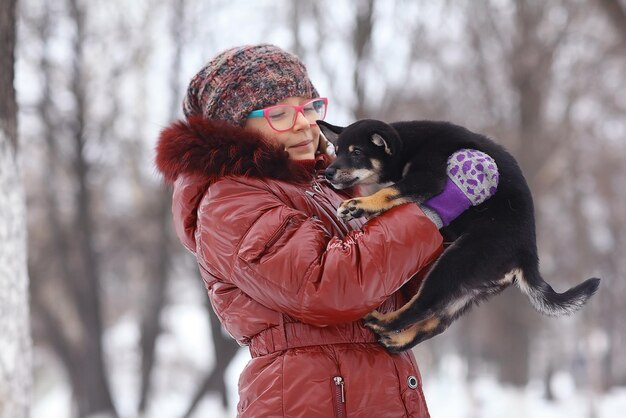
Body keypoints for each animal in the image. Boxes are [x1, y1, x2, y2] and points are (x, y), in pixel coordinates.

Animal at [316, 118, 600, 352]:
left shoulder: (428, 177)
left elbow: (389, 192)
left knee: (422, 306)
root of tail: (527, 254)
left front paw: (357, 205)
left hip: (455, 263)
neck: (407, 143)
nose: (328, 172)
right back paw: (397, 341)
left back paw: (382, 322)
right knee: (436, 322)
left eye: (357, 152)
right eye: (337, 150)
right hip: (469, 286)